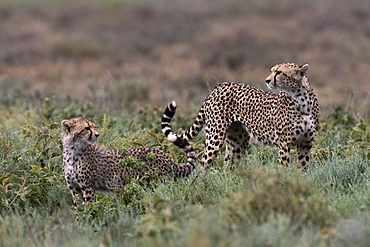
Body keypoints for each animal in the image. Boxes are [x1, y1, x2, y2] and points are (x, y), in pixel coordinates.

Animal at [60, 116, 197, 204]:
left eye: (94, 127)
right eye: (87, 128)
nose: (97, 135)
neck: (73, 150)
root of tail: (163, 155)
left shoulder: (87, 188)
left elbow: (89, 209)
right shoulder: (75, 188)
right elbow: (79, 210)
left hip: (155, 184)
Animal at [163, 62, 320, 169]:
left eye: (279, 72)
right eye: (271, 71)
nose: (267, 80)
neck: (301, 100)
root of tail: (219, 86)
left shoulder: (306, 143)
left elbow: (303, 167)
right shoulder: (284, 144)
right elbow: (285, 168)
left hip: (238, 140)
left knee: (229, 166)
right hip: (215, 136)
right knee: (203, 164)